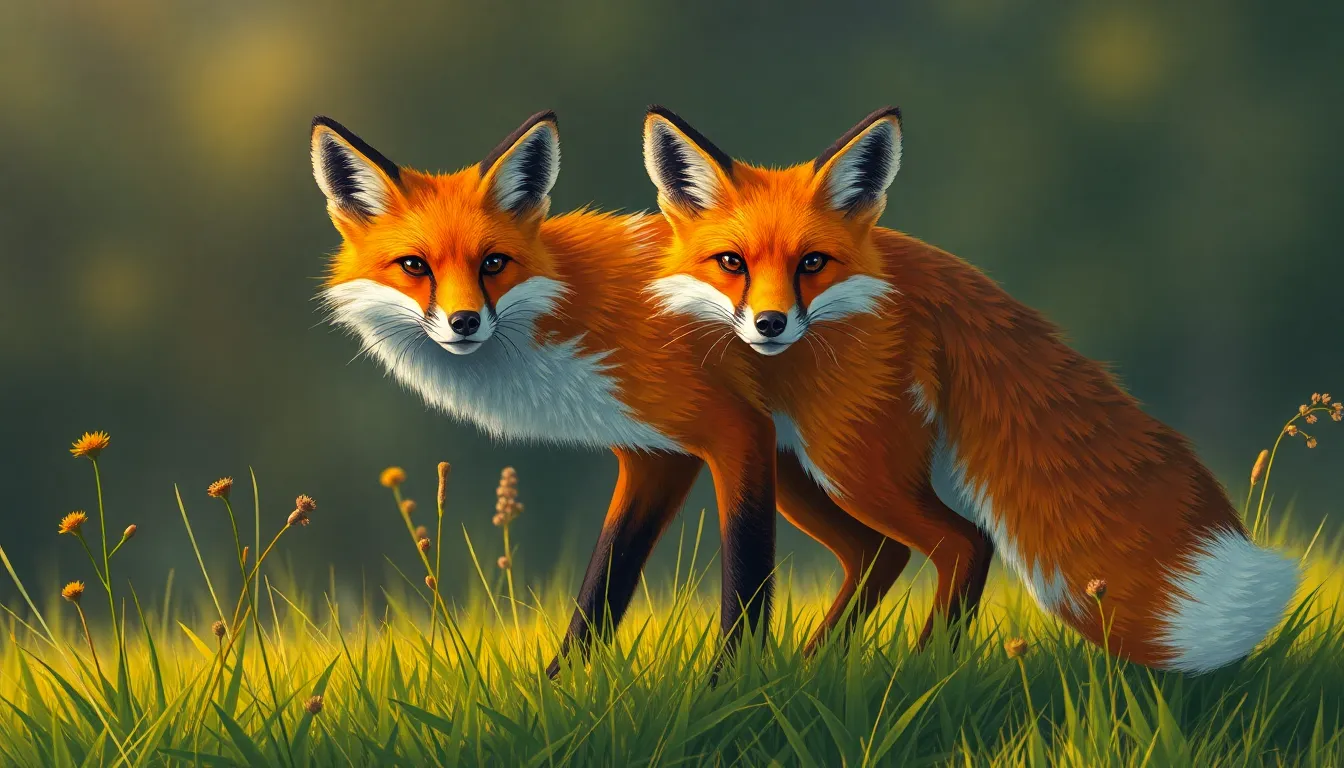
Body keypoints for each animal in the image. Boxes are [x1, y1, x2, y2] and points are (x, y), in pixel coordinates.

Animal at [308, 111, 915, 674]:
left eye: (493, 264)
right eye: (415, 266)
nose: (464, 322)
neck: (569, 310)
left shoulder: (727, 429)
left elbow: (743, 567)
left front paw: (729, 686)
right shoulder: (656, 451)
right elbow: (606, 577)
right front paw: (558, 690)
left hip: (836, 463)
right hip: (797, 470)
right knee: (881, 549)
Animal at [635, 104, 1302, 672]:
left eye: (812, 263)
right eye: (732, 263)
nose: (770, 325)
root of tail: (909, 259)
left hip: (849, 464)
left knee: (963, 541)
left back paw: (921, 672)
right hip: (795, 463)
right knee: (881, 552)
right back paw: (807, 674)